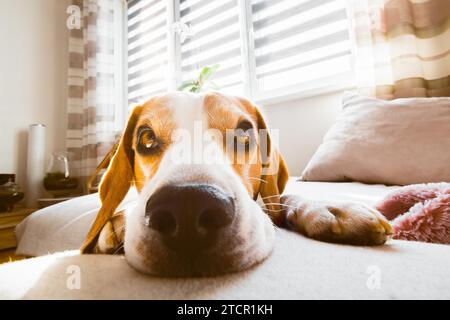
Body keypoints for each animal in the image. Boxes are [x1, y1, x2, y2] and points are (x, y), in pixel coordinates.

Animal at [82, 91, 392, 276]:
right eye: (146, 137)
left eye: (244, 133)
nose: (187, 206)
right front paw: (116, 225)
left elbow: (283, 200)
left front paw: (329, 208)